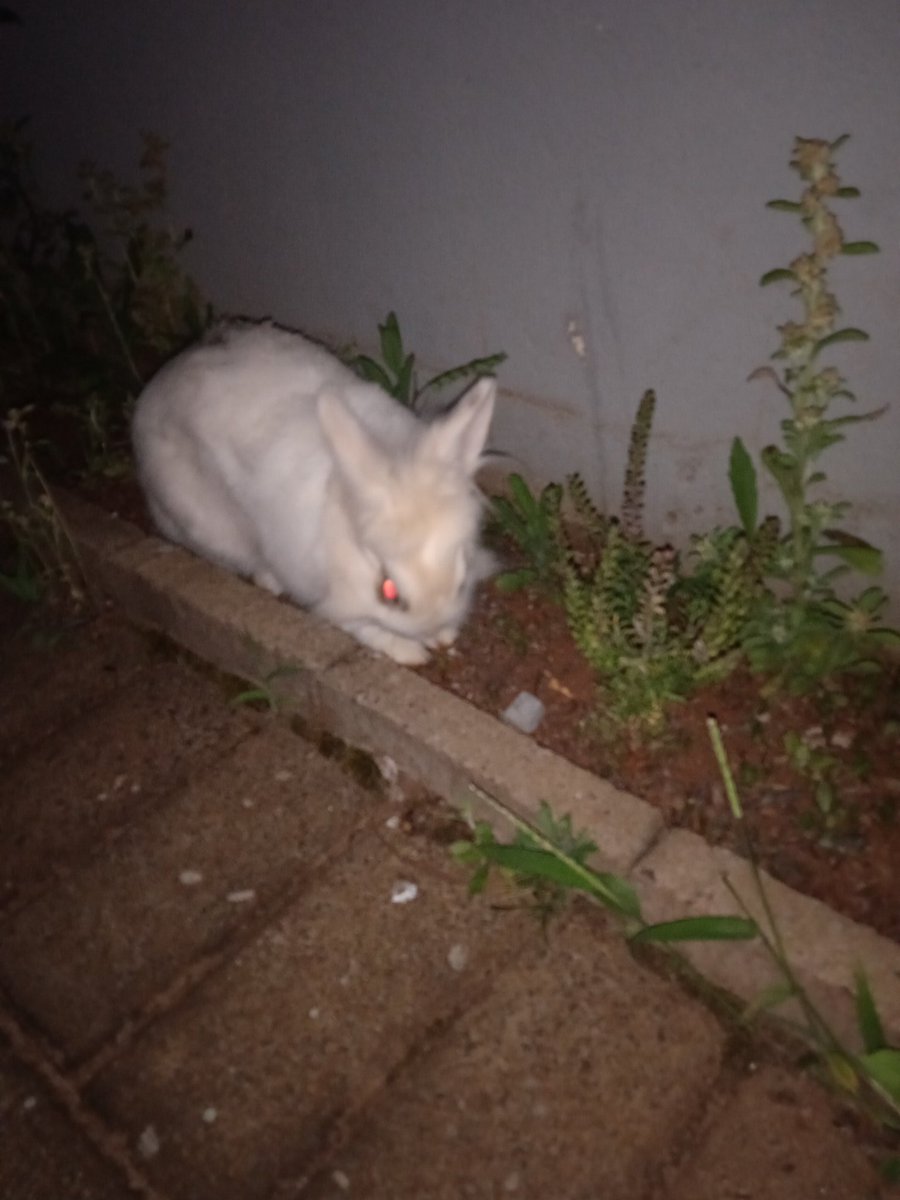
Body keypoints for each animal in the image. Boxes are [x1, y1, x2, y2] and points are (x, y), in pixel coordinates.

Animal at [131, 319, 497, 665]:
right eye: (389, 591)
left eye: (461, 578)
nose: (436, 631)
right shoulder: (328, 595)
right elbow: (364, 626)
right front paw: (409, 652)